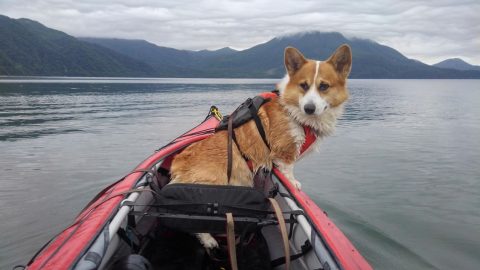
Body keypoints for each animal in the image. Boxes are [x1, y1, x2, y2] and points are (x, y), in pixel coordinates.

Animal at [171, 44, 350, 249]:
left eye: (324, 86)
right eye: (303, 85)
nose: (309, 108)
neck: (295, 112)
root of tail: (177, 166)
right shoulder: (284, 152)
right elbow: (289, 171)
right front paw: (294, 184)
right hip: (212, 187)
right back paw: (209, 240)